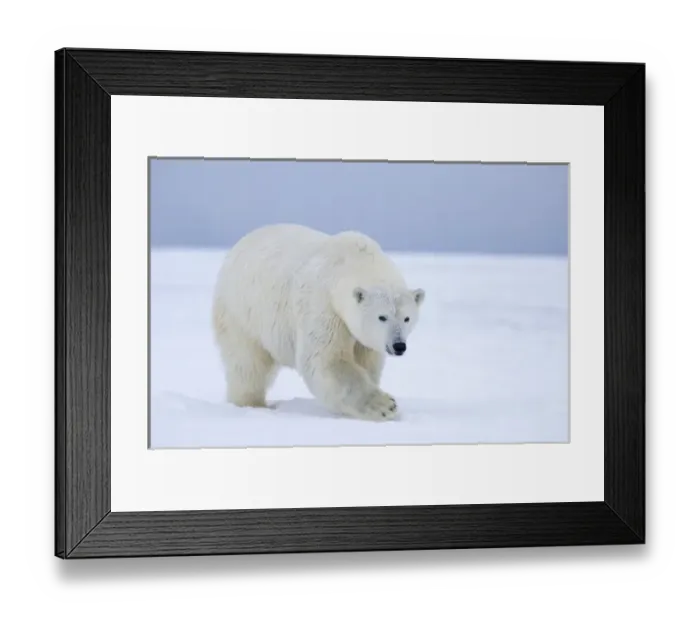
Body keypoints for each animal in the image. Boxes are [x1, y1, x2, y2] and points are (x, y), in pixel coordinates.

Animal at [211, 223, 425, 422]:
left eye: (406, 318)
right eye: (382, 317)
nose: (398, 345)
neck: (353, 261)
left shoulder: (364, 338)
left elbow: (366, 361)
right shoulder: (323, 305)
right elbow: (326, 359)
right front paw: (385, 405)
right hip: (243, 313)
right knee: (248, 364)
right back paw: (251, 403)